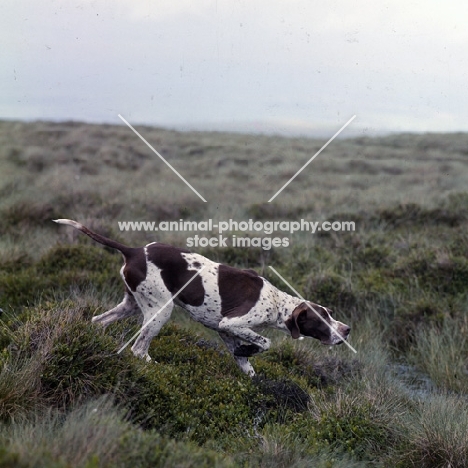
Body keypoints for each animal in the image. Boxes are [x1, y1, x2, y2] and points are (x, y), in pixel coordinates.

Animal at [53, 219, 350, 376]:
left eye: (330, 313)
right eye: (322, 318)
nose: (346, 330)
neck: (276, 302)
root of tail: (134, 250)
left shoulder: (226, 331)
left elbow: (246, 364)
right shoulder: (231, 324)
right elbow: (265, 342)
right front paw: (251, 350)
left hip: (132, 305)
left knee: (98, 321)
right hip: (161, 310)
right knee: (138, 349)